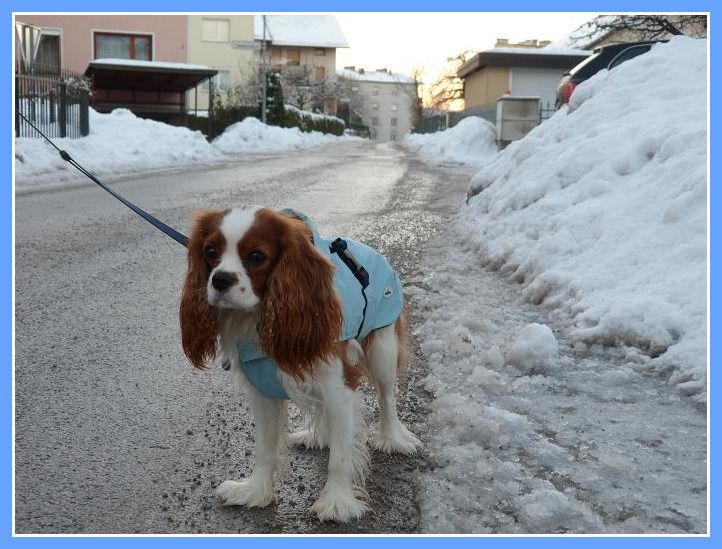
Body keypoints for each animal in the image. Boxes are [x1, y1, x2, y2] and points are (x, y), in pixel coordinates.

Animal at [176, 208, 420, 520]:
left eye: (256, 256)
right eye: (210, 251)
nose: (220, 280)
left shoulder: (341, 386)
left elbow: (341, 455)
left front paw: (337, 502)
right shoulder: (264, 394)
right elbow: (264, 449)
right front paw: (254, 491)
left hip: (382, 348)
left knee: (387, 396)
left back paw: (393, 438)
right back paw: (321, 436)